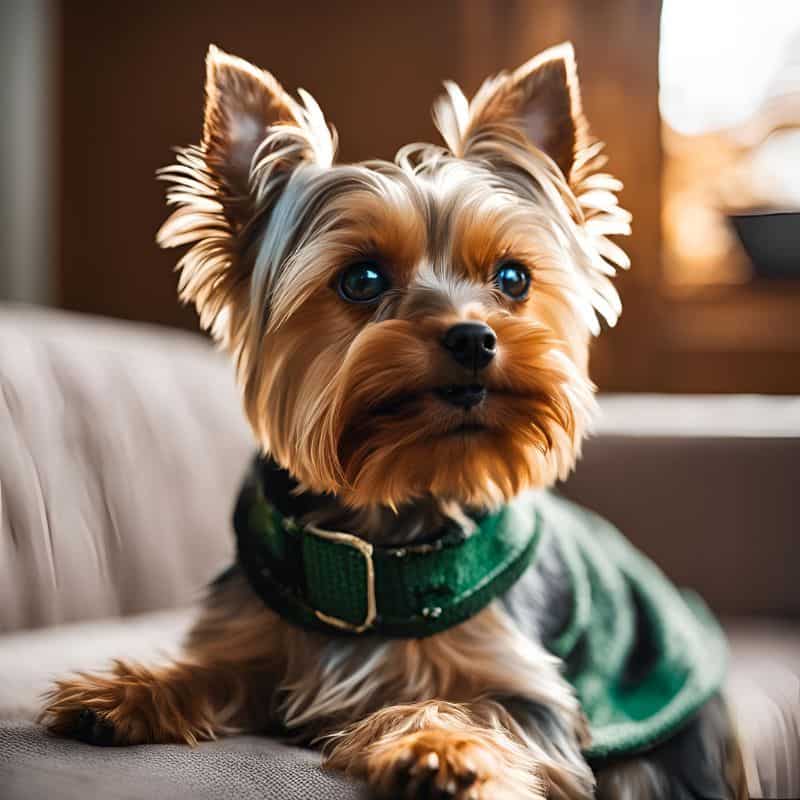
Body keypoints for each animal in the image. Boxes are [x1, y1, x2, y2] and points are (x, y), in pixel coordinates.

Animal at [40, 45, 748, 800]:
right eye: (362, 279)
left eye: (513, 278)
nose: (473, 338)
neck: (387, 517)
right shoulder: (248, 631)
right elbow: (214, 667)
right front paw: (125, 692)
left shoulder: (529, 690)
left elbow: (474, 707)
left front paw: (439, 749)